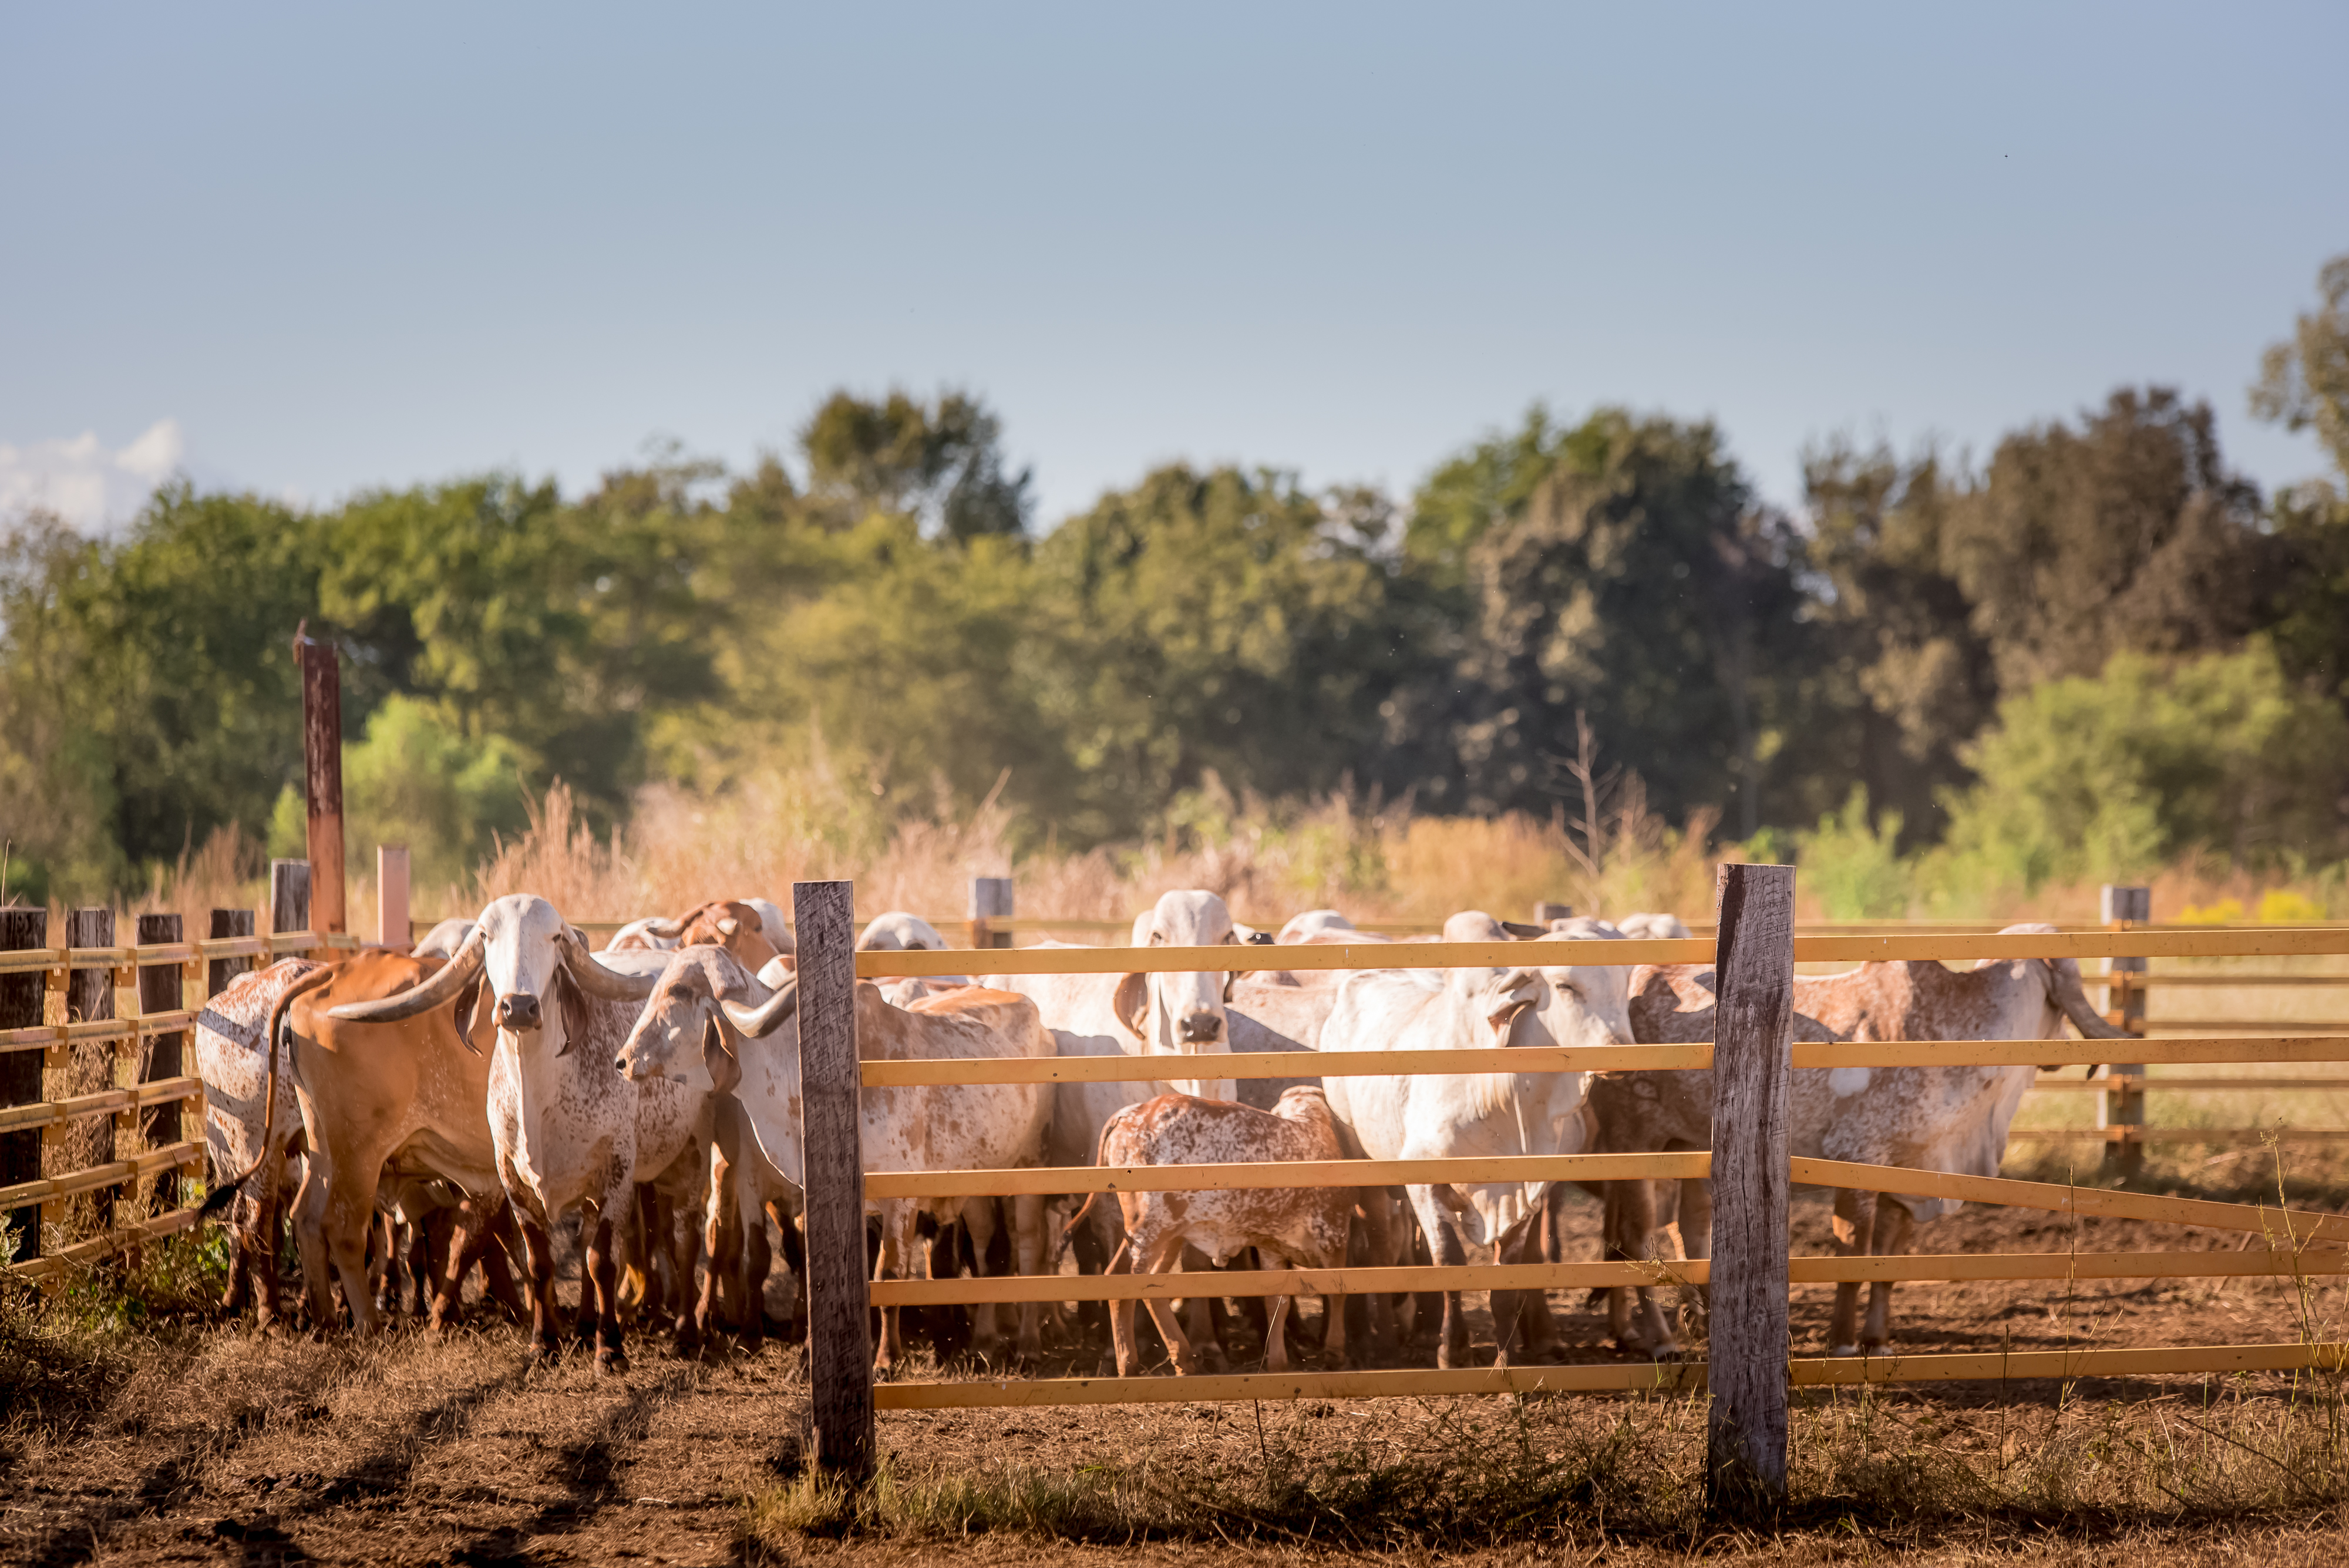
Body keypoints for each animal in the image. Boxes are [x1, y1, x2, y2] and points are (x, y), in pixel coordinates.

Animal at [327, 895, 699, 1371]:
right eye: (487, 935)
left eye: (555, 937)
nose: (518, 1007)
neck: (538, 1095)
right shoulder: (512, 1179)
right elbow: (540, 1262)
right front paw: (545, 1343)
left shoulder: (617, 1174)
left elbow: (602, 1261)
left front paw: (611, 1349)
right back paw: (583, 1325)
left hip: (693, 1156)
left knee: (685, 1239)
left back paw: (686, 1331)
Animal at [612, 945, 1055, 1371]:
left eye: (679, 990)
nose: (622, 1060)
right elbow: (821, 1275)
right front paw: (810, 1357)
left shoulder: (901, 1202)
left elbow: (889, 1274)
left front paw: (886, 1359)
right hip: (976, 1183)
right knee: (984, 1248)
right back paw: (984, 1340)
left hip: (1029, 1169)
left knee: (1029, 1248)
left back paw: (1029, 1345)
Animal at [1070, 1089, 1363, 1375]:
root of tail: (1134, 1113)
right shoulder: (1334, 1234)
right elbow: (1338, 1290)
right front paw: (1335, 1354)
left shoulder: (1273, 1247)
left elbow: (1278, 1304)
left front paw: (1278, 1363)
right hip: (1150, 1228)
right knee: (1133, 1281)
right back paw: (1140, 1361)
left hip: (1167, 1234)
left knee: (1135, 1281)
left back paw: (1165, 1360)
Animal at [1321, 919, 1635, 1369]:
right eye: (1565, 986)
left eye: (1625, 981)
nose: (1620, 1053)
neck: (1502, 1096)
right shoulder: (1424, 1184)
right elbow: (1449, 1261)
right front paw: (1452, 1351)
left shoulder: (1524, 1194)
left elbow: (1506, 1277)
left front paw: (1506, 1360)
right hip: (1361, 1154)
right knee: (1378, 1241)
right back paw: (1378, 1340)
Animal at [1595, 922, 2134, 1356]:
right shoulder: (1857, 1160)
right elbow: (1852, 1258)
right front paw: (1843, 1341)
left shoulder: (1910, 1177)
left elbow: (1887, 1265)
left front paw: (1877, 1338)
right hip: (1633, 1141)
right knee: (1637, 1236)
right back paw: (1661, 1339)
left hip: (1685, 1145)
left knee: (1689, 1228)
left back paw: (1703, 1317)